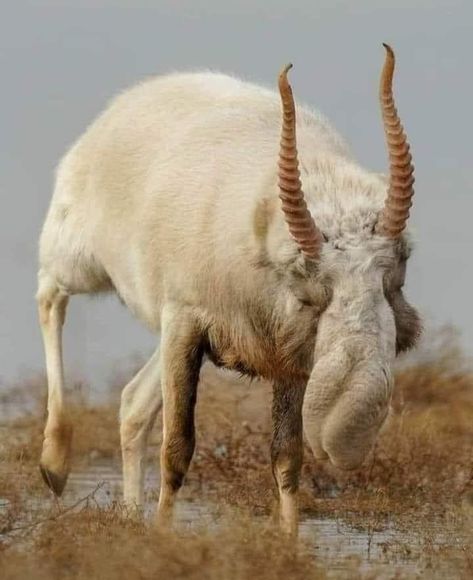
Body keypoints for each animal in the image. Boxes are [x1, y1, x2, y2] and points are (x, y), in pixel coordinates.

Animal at [37, 45, 420, 536]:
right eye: (306, 284)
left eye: (398, 272)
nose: (347, 432)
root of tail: (115, 112)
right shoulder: (186, 321)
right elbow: (178, 447)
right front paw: (164, 538)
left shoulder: (288, 355)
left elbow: (286, 456)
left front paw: (290, 541)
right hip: (79, 258)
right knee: (50, 294)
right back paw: (55, 464)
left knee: (132, 403)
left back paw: (130, 514)